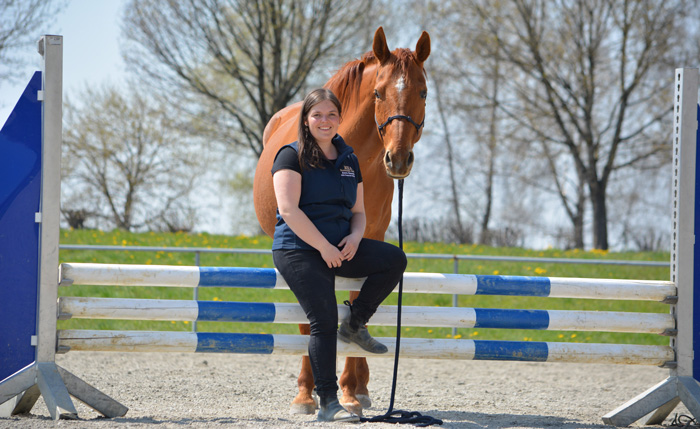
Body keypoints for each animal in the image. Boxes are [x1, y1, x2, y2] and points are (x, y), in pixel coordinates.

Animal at [252, 25, 426, 414]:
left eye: (423, 91)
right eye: (378, 92)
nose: (399, 159)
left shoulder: (369, 236)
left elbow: (357, 299)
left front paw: (349, 390)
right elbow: (311, 319)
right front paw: (306, 393)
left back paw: (358, 387)